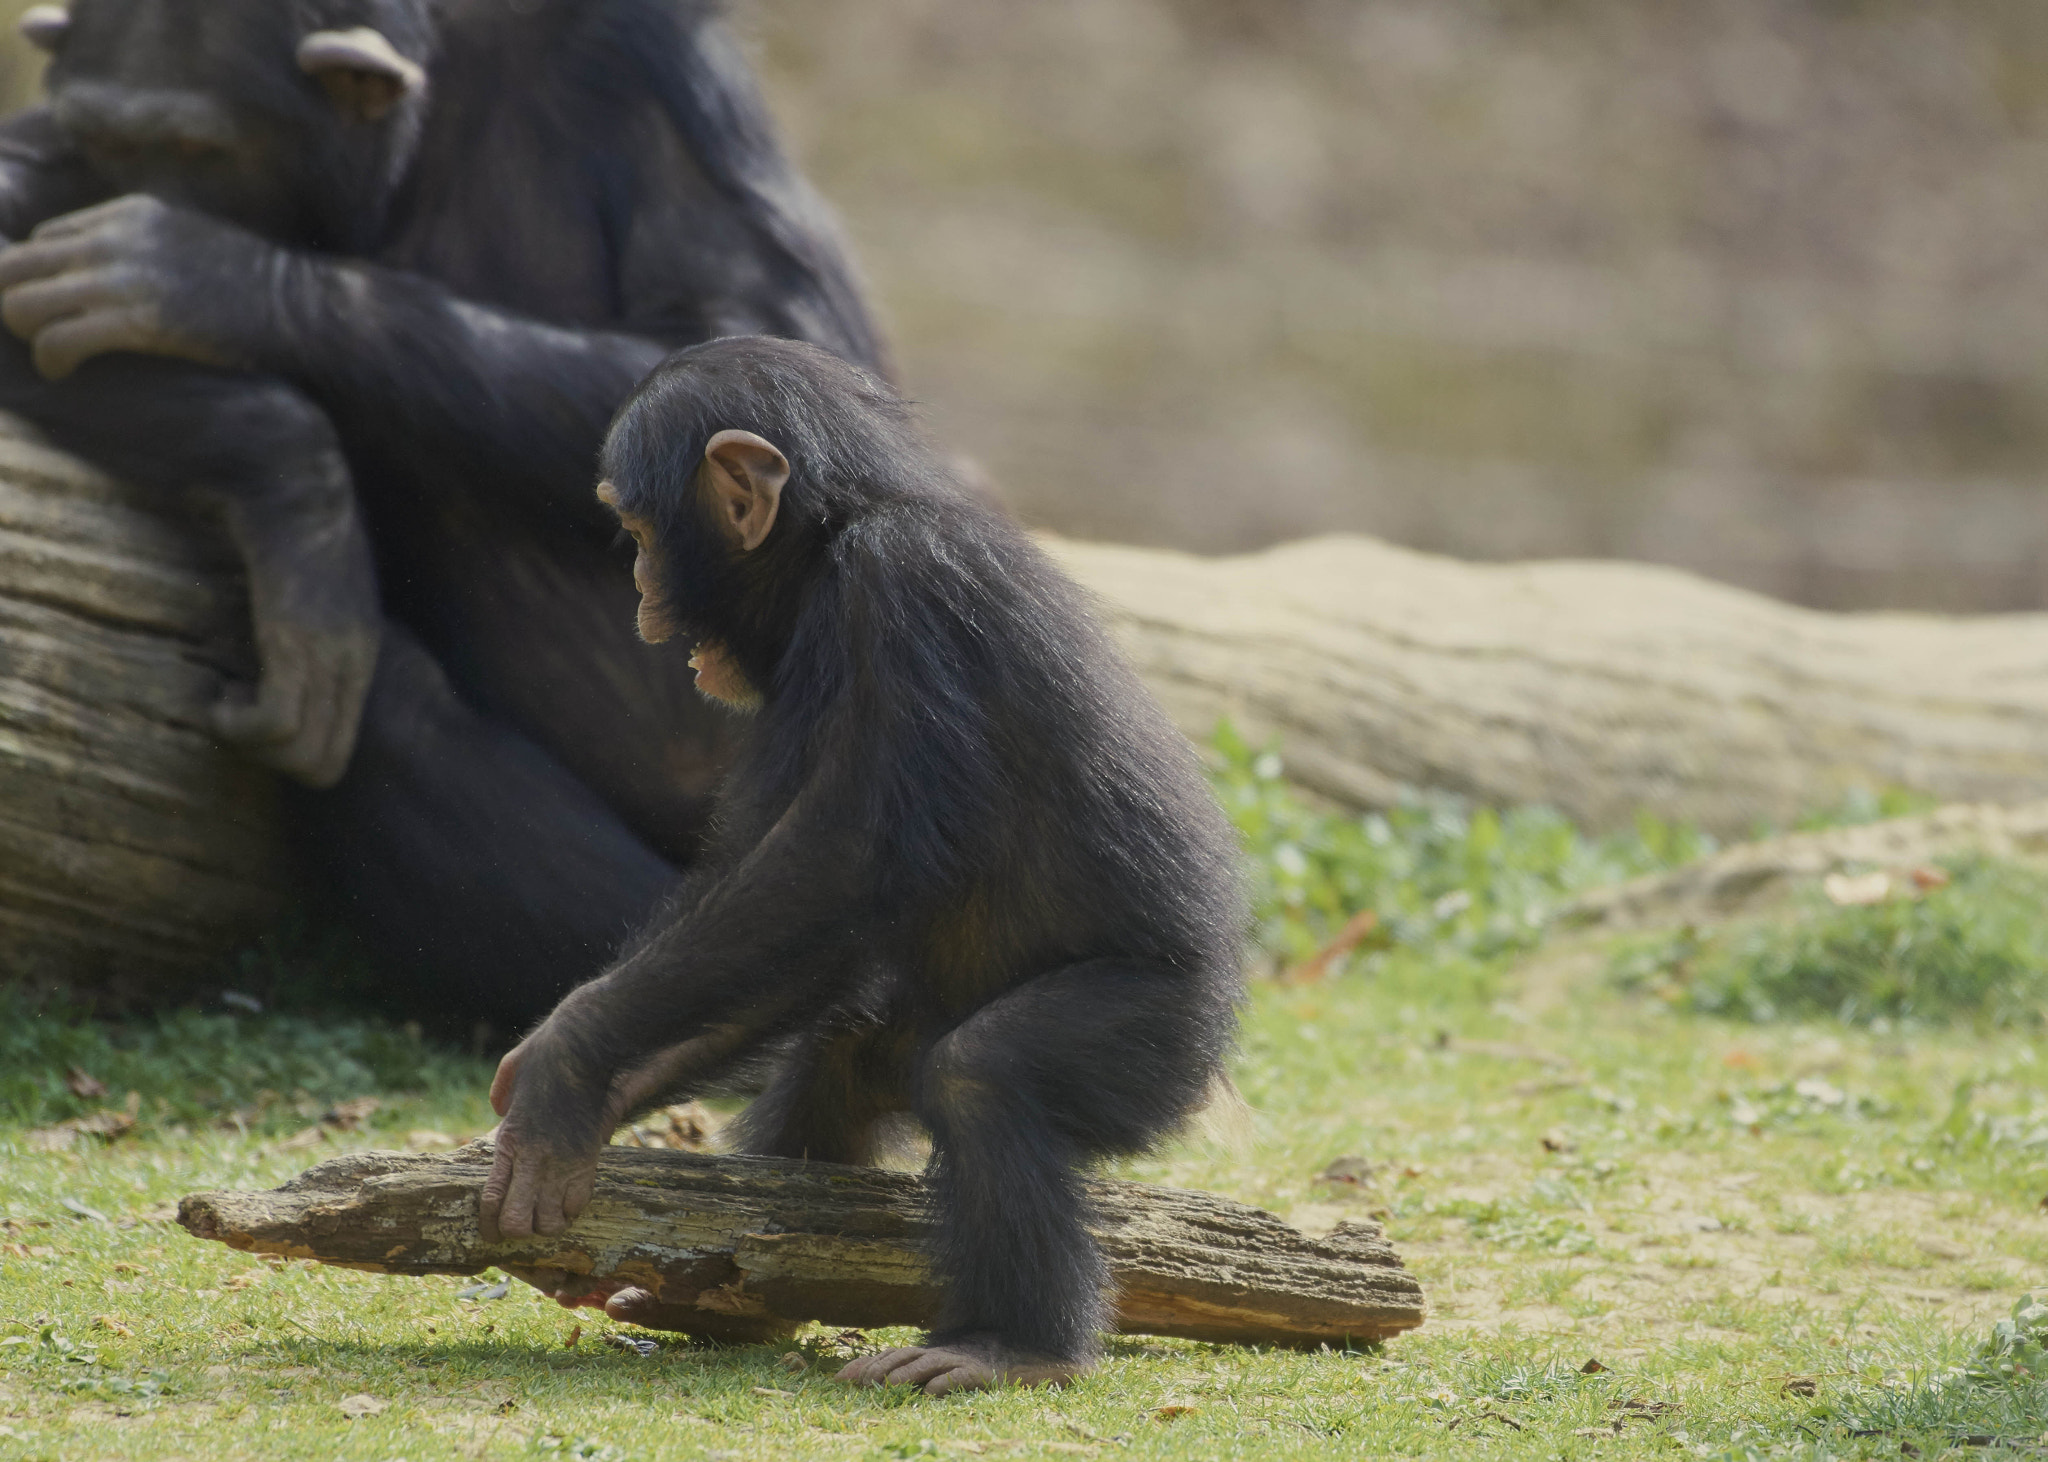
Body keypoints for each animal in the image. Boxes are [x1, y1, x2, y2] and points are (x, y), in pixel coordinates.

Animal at [0, 0, 880, 1019]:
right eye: (105, 140)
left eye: (194, 148)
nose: (121, 194)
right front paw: (290, 483)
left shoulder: (658, 68)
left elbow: (758, 335)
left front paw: (201, 278)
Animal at [479, 335, 1245, 1392]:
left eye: (633, 529)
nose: (639, 592)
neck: (842, 531)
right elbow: (802, 919)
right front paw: (608, 1093)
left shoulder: (902, 590)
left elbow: (837, 861)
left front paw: (566, 1064)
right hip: (918, 1029)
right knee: (838, 1059)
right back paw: (740, 1303)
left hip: (1159, 1037)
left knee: (981, 1076)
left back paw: (1008, 1344)